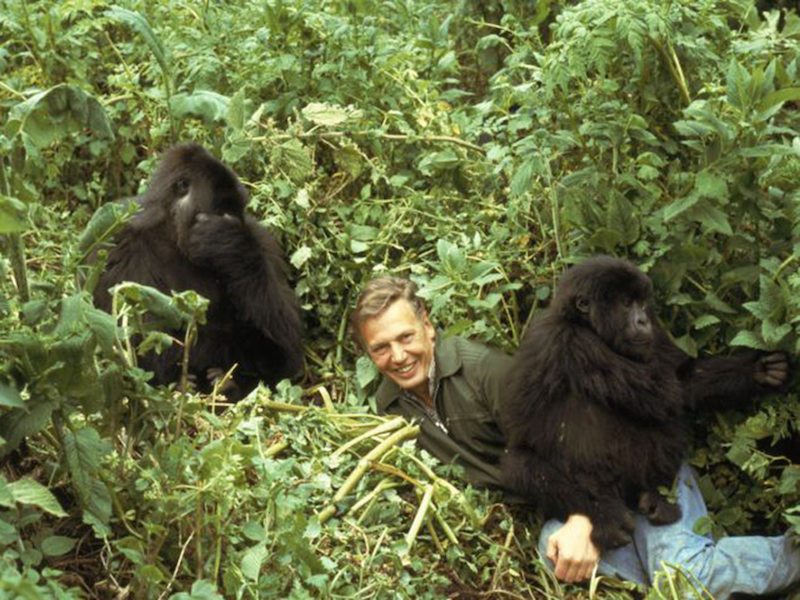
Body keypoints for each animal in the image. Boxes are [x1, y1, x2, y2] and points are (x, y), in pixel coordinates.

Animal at [94, 142, 304, 398]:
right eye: (222, 208)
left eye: (235, 211)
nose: (235, 220)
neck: (170, 231)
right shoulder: (113, 234)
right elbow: (124, 340)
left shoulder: (260, 239)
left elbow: (287, 348)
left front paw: (229, 244)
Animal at [504, 255, 792, 552]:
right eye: (626, 303)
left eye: (641, 303)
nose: (643, 321)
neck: (586, 325)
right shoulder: (566, 340)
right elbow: (661, 393)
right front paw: (604, 515)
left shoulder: (655, 333)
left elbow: (681, 380)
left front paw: (757, 371)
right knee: (520, 464)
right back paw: (606, 515)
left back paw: (655, 496)